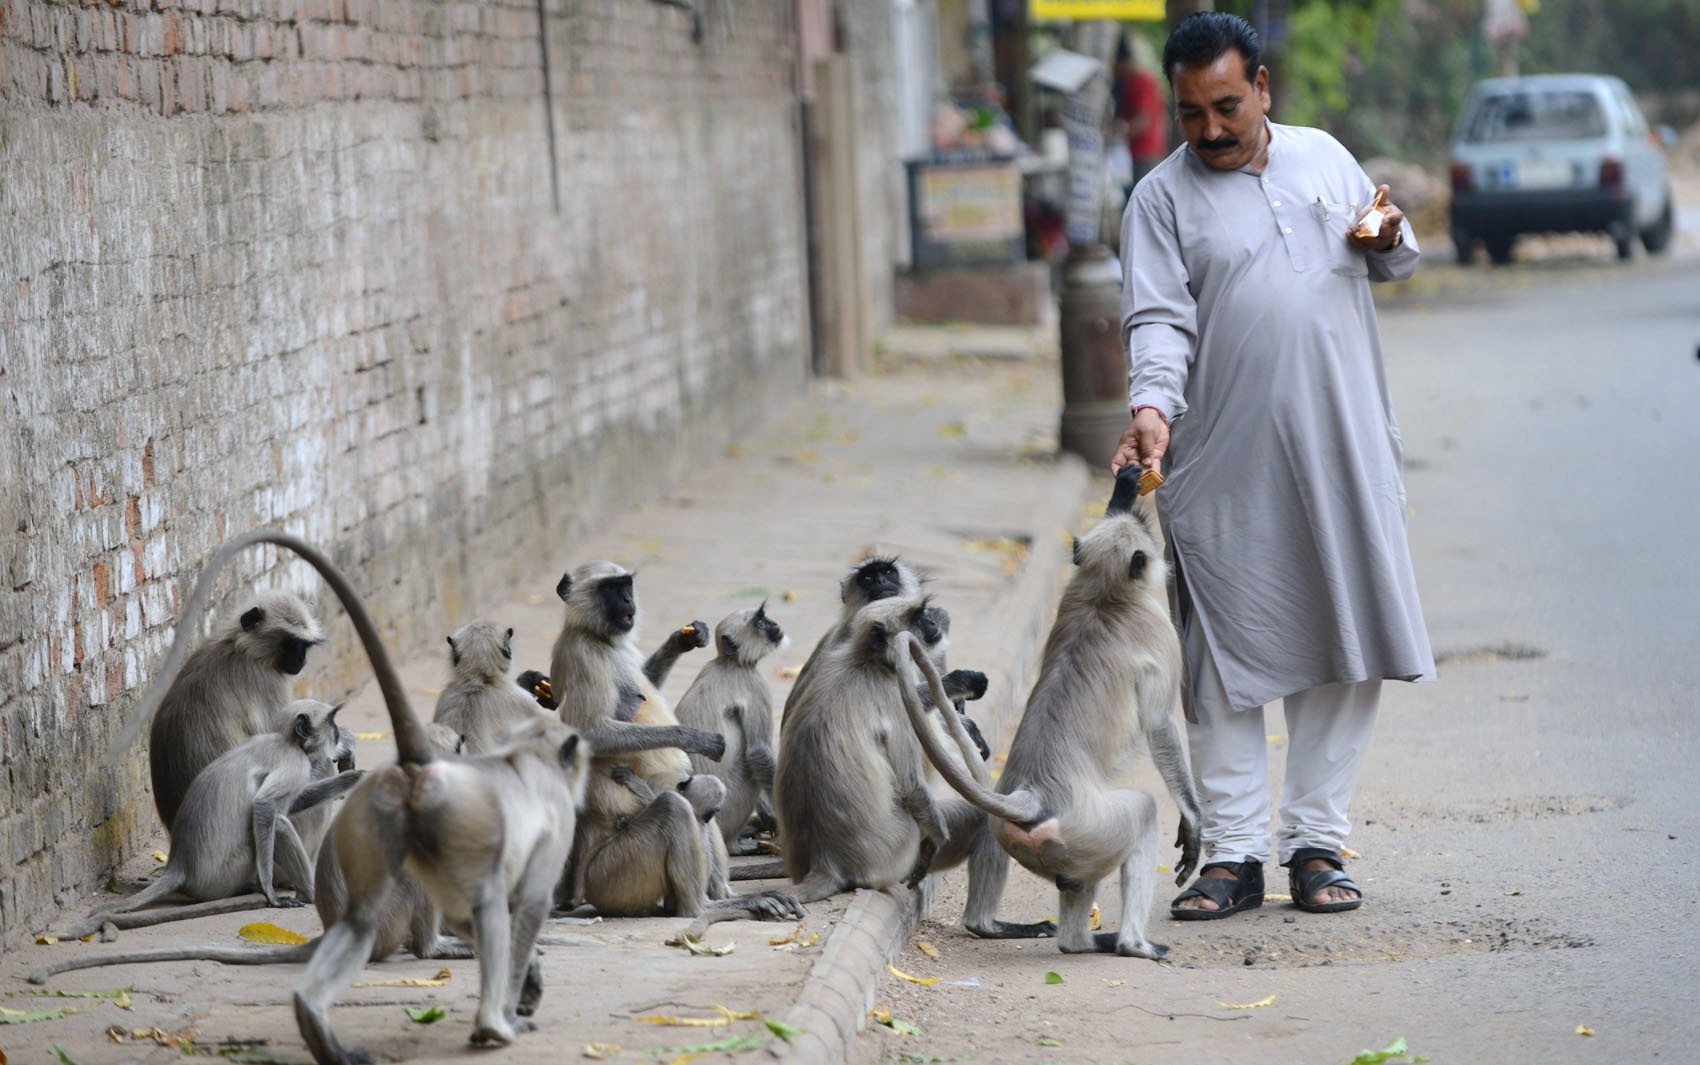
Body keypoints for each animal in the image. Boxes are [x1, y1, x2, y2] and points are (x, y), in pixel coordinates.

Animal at [59, 697, 362, 939]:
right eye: (331, 723)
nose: (338, 733)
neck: (285, 740)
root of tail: (178, 864)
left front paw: (354, 778)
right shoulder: (294, 763)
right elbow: (265, 805)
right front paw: (271, 894)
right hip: (228, 872)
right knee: (280, 825)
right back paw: (307, 893)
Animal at [761, 598, 1047, 939]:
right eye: (918, 617)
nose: (933, 624)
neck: (864, 662)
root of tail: (827, 861)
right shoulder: (892, 696)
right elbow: (912, 785)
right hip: (898, 853)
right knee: (984, 820)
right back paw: (987, 926)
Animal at [897, 462, 1203, 952]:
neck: (1106, 596)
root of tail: (1033, 795)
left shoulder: (1074, 590)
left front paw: (1125, 485)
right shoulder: (1159, 633)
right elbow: (1160, 725)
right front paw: (1193, 822)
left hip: (1033, 836)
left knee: (1059, 880)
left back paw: (1064, 938)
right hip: (1093, 828)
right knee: (1142, 811)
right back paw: (1130, 945)